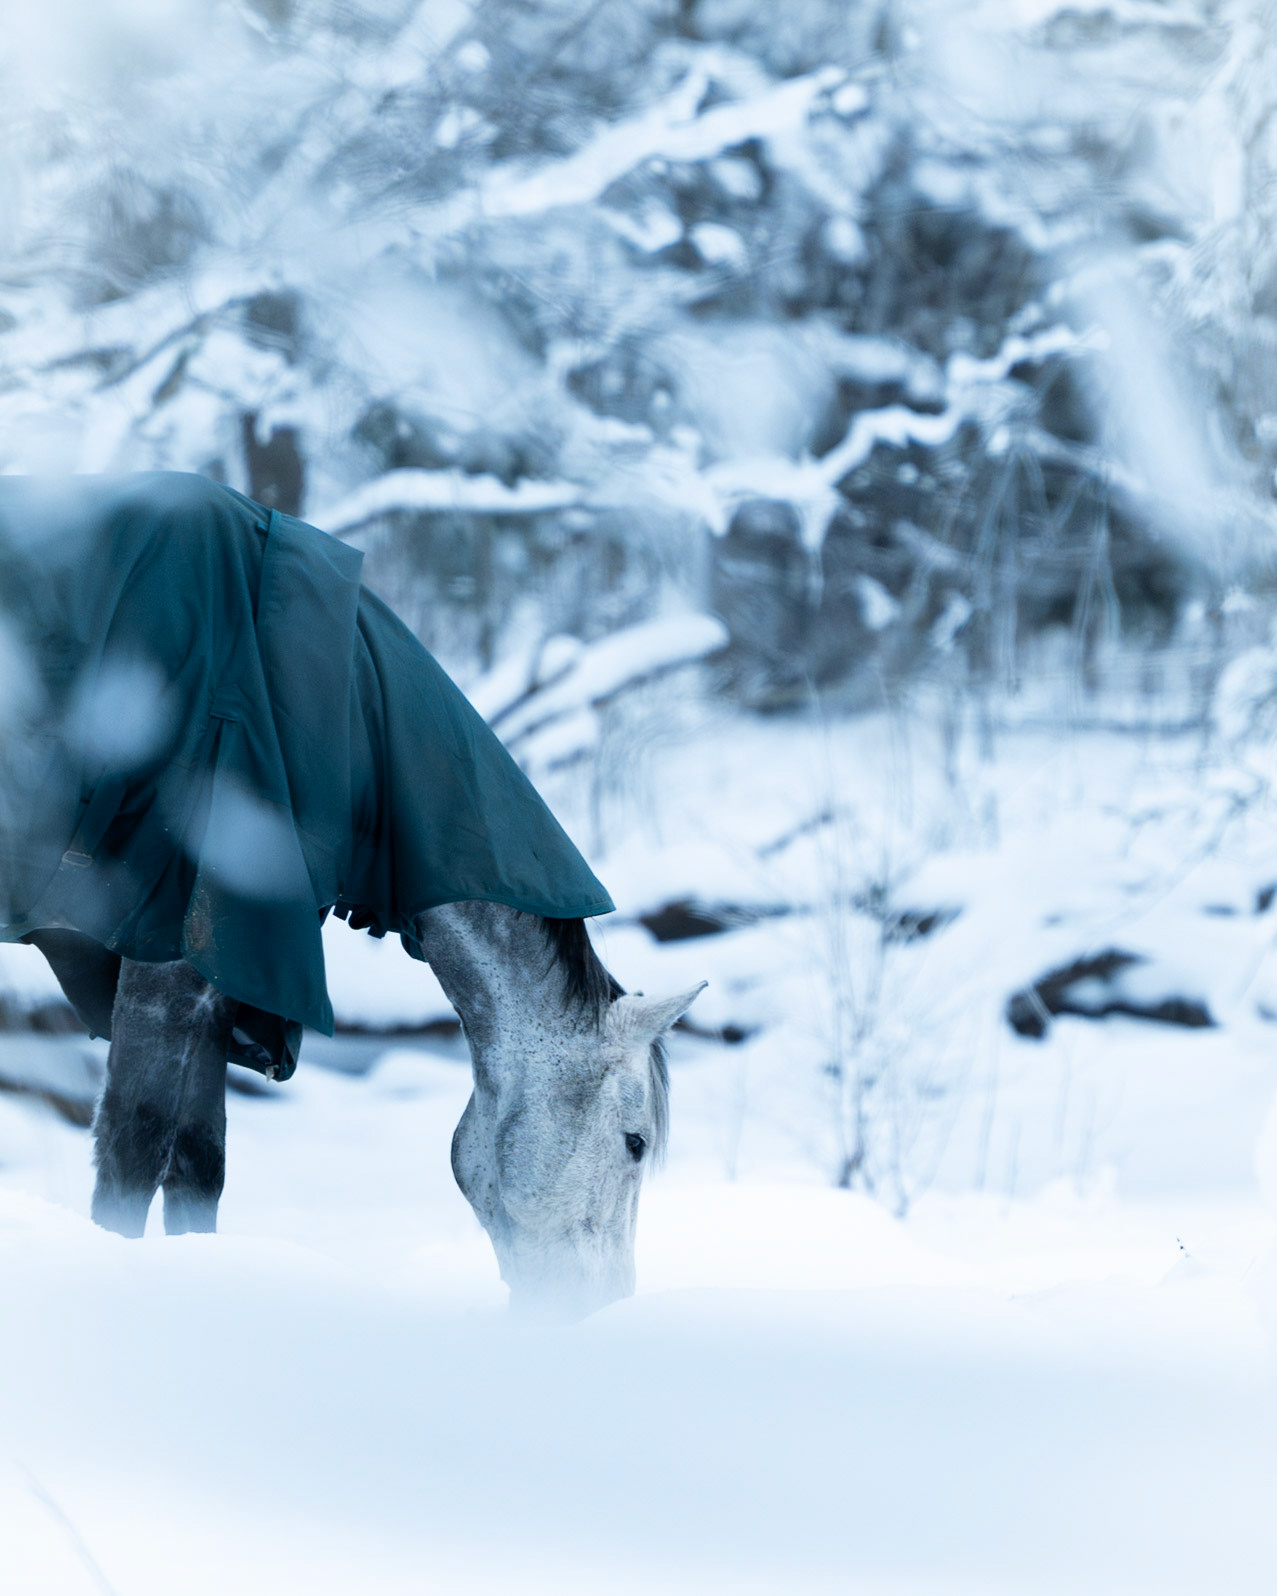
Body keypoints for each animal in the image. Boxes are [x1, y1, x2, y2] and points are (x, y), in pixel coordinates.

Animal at [0, 472, 705, 1317]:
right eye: (634, 1143)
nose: (601, 1308)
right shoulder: (170, 957)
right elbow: (134, 1154)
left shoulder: (225, 977)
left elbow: (199, 1163)